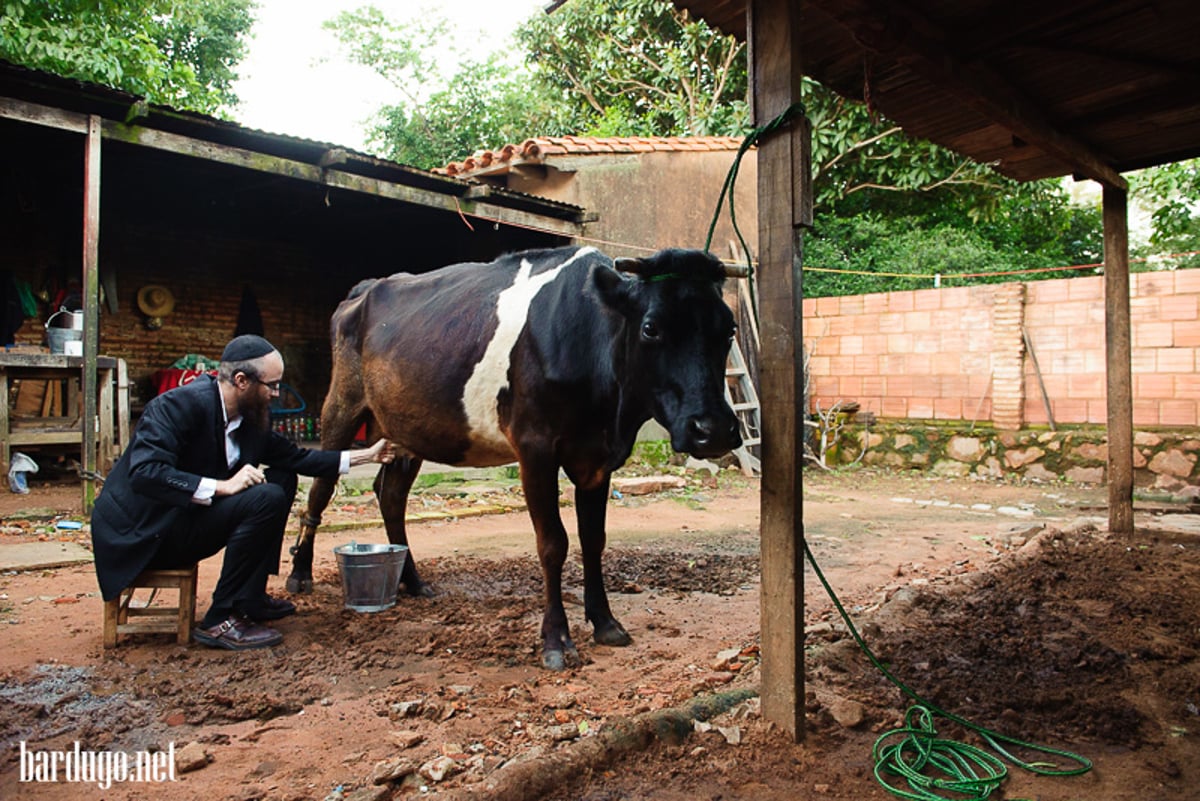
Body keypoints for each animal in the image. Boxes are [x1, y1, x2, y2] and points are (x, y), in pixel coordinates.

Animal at [286, 245, 744, 671]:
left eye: (729, 329)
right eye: (651, 328)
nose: (714, 428)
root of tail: (365, 288)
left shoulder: (597, 459)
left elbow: (594, 540)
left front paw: (606, 623)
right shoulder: (534, 447)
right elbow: (553, 544)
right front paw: (556, 640)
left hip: (405, 428)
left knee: (391, 496)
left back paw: (412, 581)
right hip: (342, 405)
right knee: (322, 487)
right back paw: (299, 573)